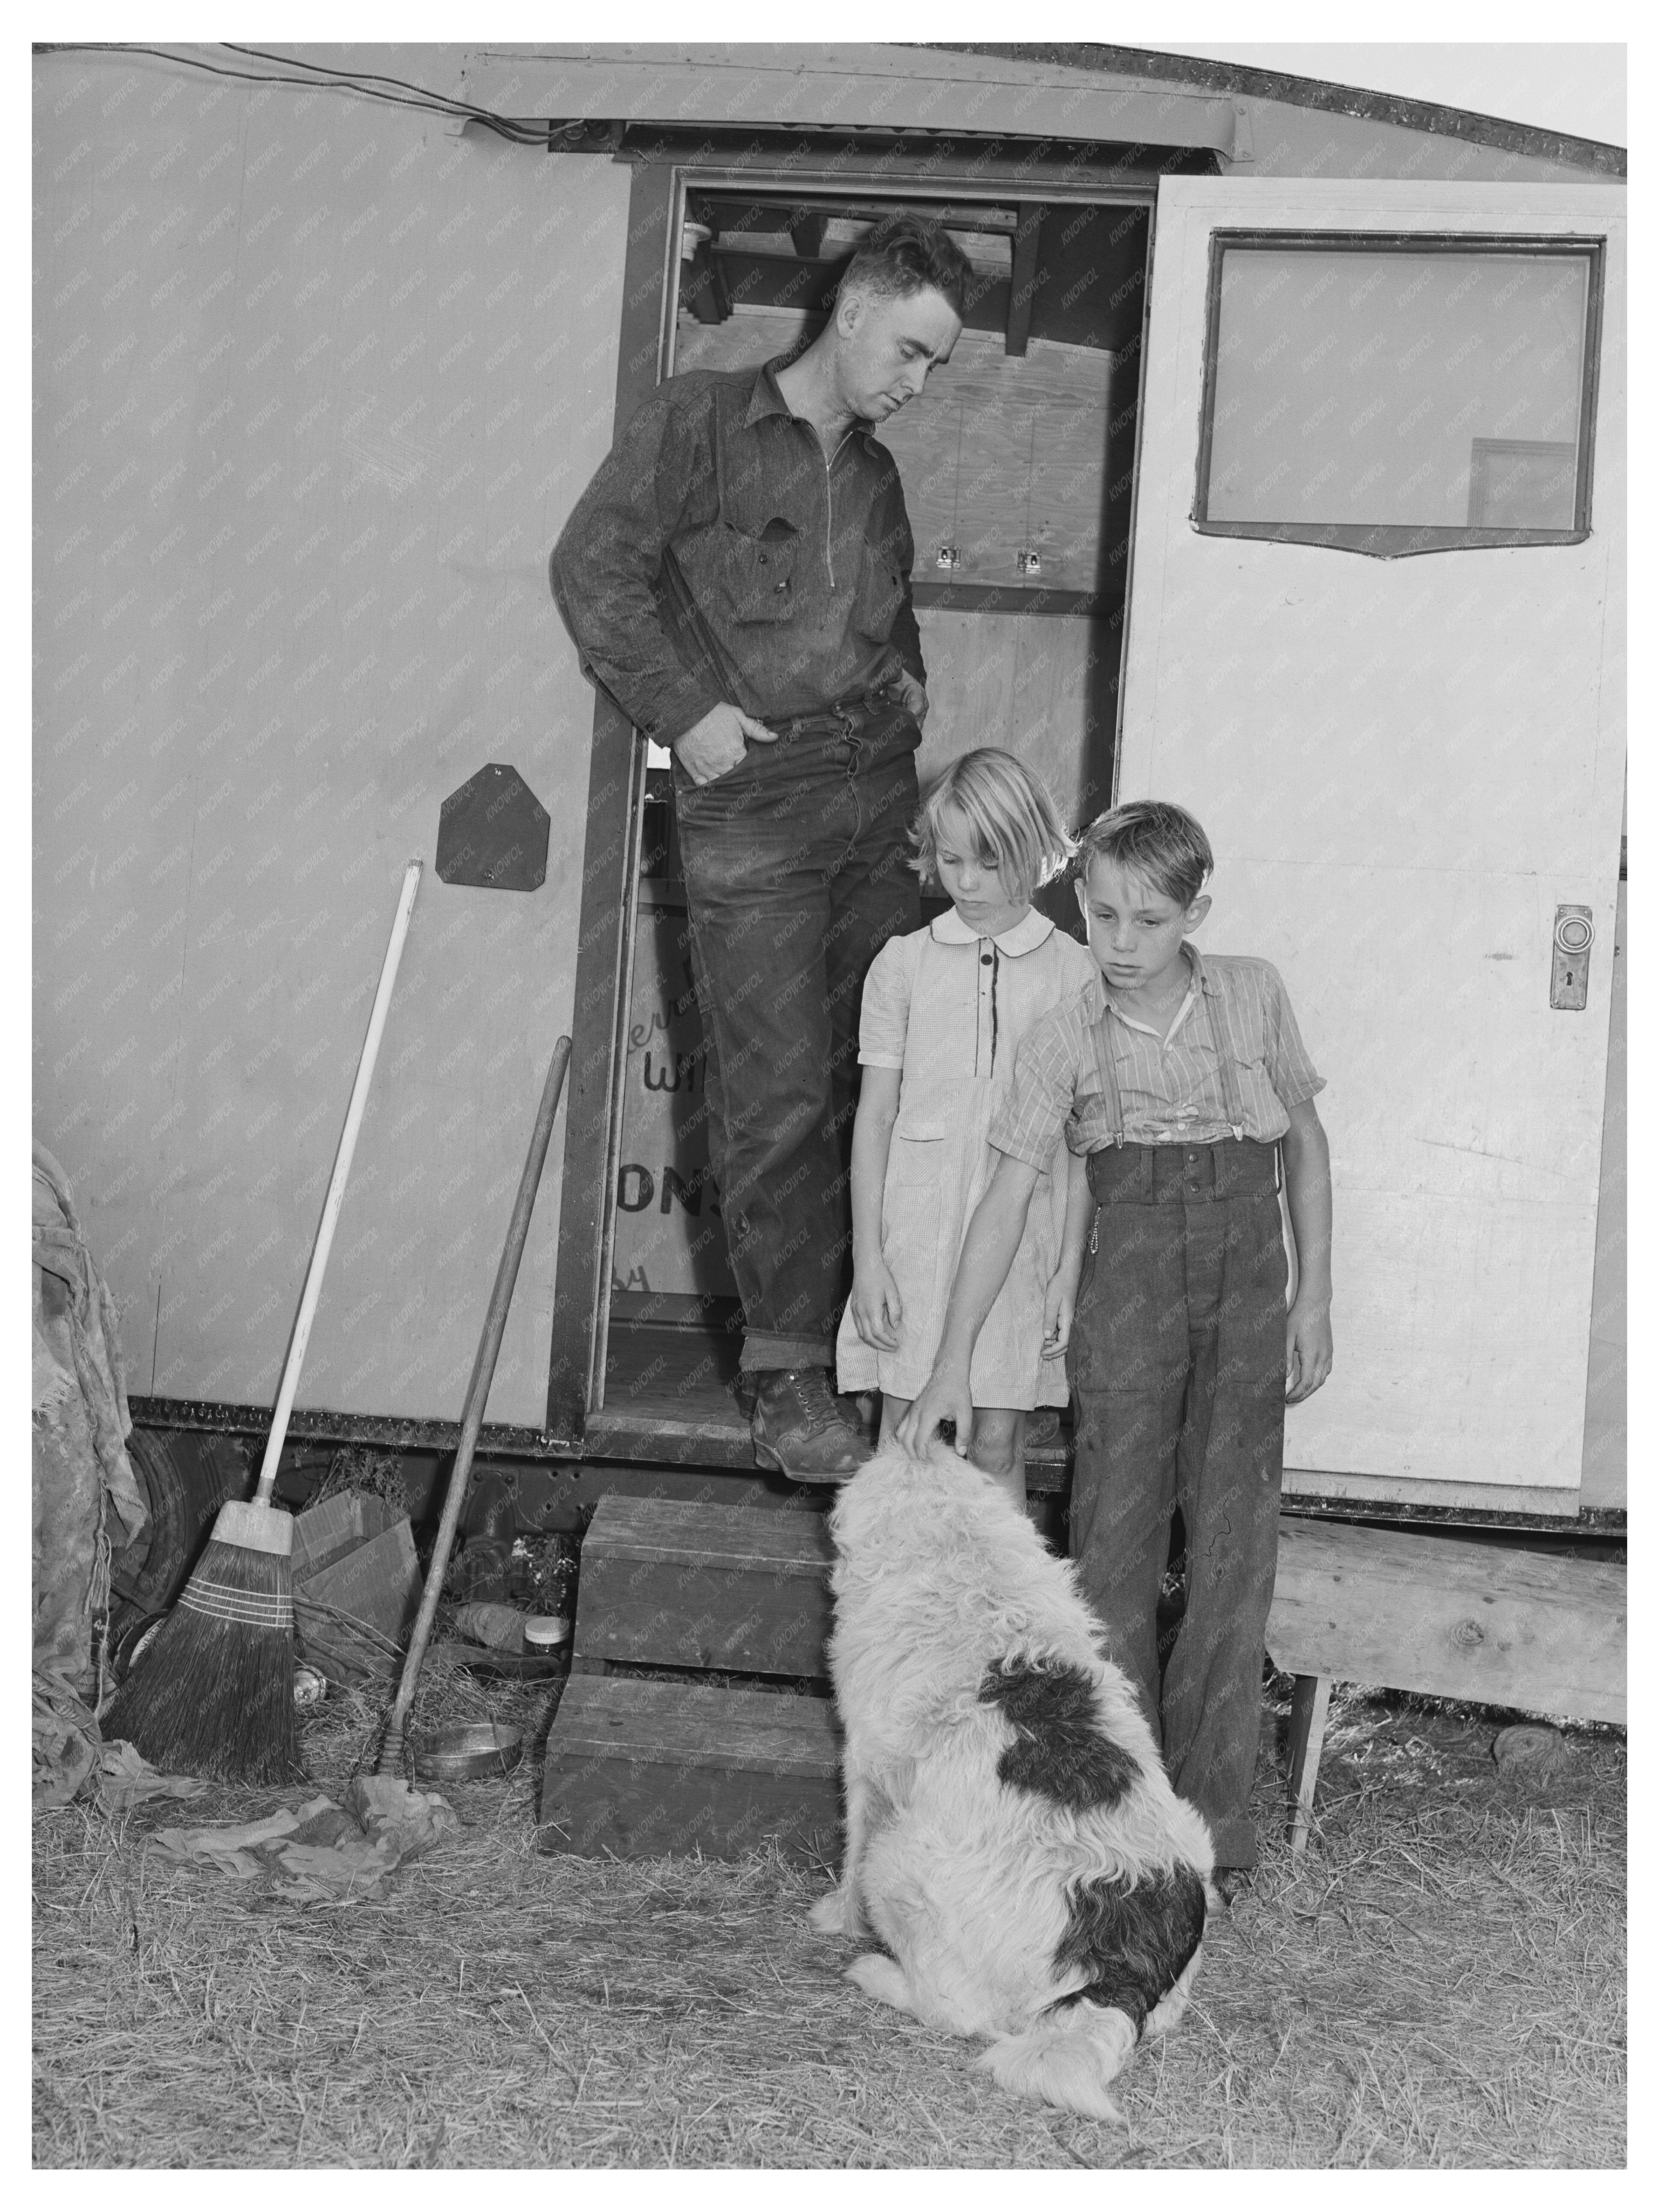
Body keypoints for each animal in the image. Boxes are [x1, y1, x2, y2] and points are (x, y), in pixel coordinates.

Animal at [814, 1442, 1212, 2114]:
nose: (911, 1437)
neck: (967, 1564)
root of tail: (1115, 1969)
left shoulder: (865, 1765)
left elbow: (850, 1845)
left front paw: (839, 1919)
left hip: (896, 1865)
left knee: (952, 2010)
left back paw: (877, 1974)